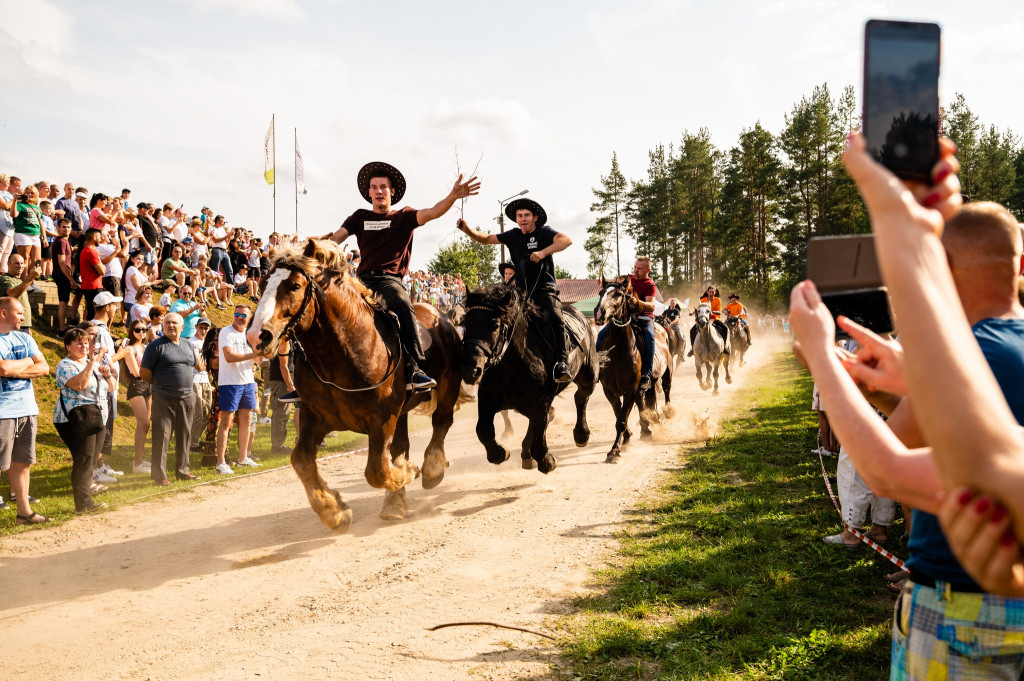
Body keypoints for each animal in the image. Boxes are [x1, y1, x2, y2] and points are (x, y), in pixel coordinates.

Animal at [245, 238, 462, 532]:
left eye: (294, 286)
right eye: (263, 282)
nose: (257, 335)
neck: (343, 351)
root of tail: (442, 316)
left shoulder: (382, 420)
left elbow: (377, 471)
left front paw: (408, 471)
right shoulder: (315, 416)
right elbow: (301, 461)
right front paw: (333, 511)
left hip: (448, 386)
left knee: (441, 422)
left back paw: (431, 469)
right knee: (402, 445)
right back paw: (394, 502)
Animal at [460, 284, 598, 471]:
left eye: (495, 325)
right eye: (465, 323)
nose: (471, 370)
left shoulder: (541, 402)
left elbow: (539, 440)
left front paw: (547, 461)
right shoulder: (487, 399)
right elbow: (483, 430)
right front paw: (499, 453)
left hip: (589, 375)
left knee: (581, 397)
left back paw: (581, 435)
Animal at [593, 276, 671, 462]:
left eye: (619, 294)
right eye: (600, 292)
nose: (599, 314)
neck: (619, 349)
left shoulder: (631, 388)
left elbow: (621, 420)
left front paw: (614, 450)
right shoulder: (609, 390)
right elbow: (619, 416)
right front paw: (627, 437)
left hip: (666, 374)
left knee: (667, 391)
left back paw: (666, 414)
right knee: (643, 406)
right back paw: (646, 430)